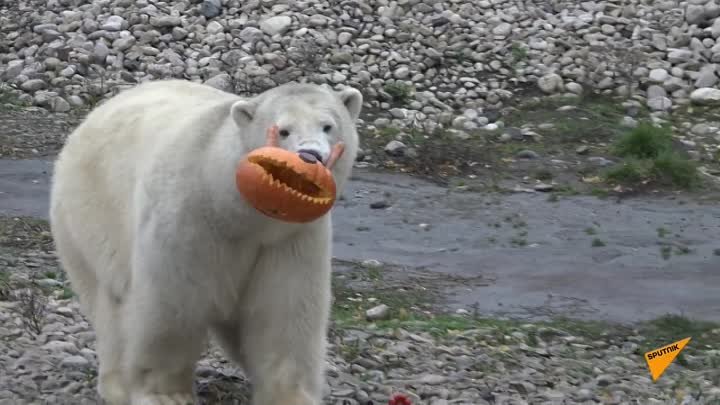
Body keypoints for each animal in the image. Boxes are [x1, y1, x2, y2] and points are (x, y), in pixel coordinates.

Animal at [50, 79, 362, 404]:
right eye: (283, 130)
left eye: (327, 126)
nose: (311, 156)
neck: (233, 210)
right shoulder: (188, 220)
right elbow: (171, 303)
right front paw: (167, 395)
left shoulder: (290, 239)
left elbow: (285, 311)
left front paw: (290, 396)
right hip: (89, 218)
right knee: (110, 302)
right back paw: (117, 385)